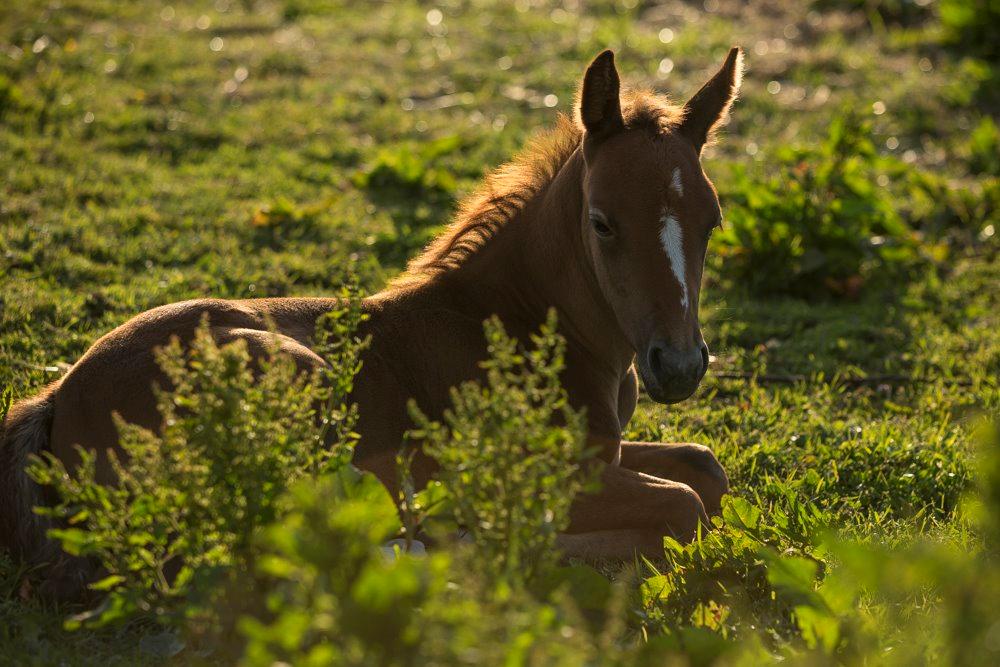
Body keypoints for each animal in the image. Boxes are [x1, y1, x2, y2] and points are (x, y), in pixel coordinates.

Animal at [1, 48, 744, 580]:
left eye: (712, 220)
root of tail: (59, 399)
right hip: (295, 375)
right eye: (602, 222)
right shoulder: (536, 469)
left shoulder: (602, 454)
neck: (512, 324)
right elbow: (682, 504)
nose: (678, 366)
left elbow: (704, 467)